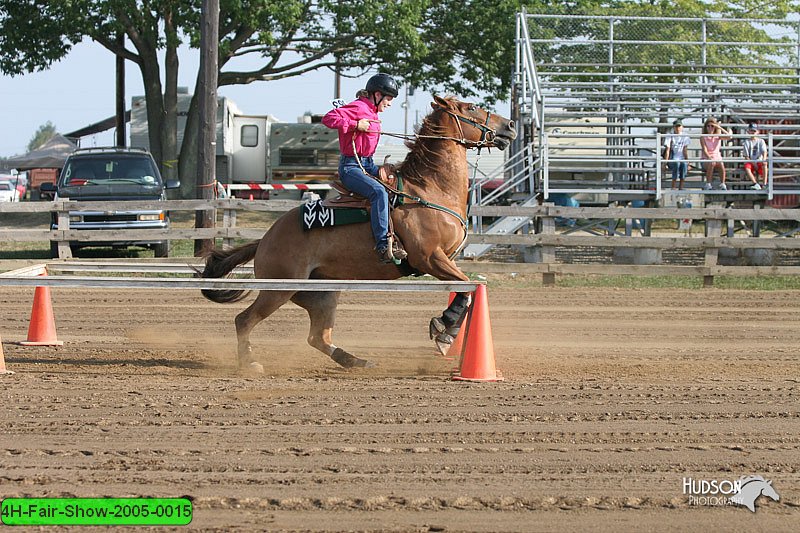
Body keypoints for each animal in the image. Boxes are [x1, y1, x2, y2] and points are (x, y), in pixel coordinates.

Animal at [200, 95, 520, 370]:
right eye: (471, 107)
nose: (510, 126)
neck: (430, 189)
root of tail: (266, 239)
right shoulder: (429, 258)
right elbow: (466, 287)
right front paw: (444, 329)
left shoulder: (444, 260)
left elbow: (466, 289)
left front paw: (445, 330)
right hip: (278, 289)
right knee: (244, 320)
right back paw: (250, 363)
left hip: (322, 294)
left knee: (317, 337)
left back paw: (356, 361)